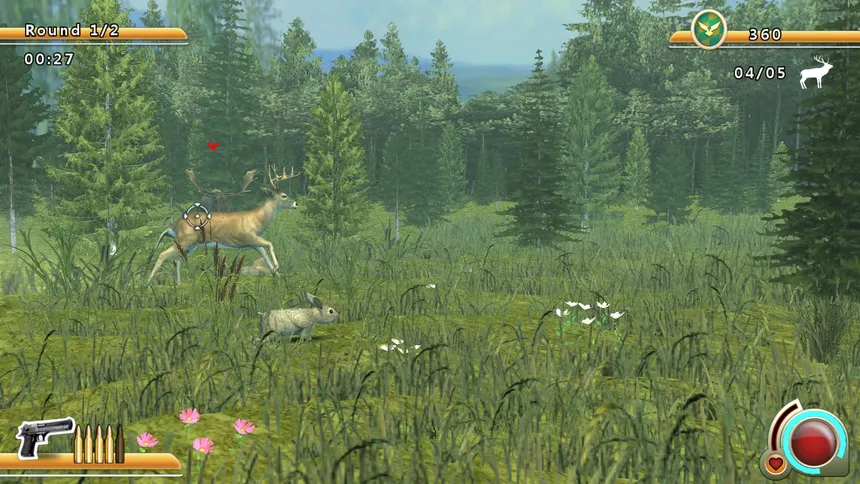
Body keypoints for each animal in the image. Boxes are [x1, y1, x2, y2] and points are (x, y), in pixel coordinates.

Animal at [146, 162, 299, 285]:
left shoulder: (254, 242)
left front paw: (276, 274)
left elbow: (264, 254)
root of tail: (175, 225)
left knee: (176, 259)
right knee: (162, 254)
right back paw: (147, 283)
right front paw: (277, 268)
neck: (257, 219)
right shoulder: (248, 236)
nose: (296, 203)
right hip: (184, 240)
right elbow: (269, 244)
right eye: (284, 195)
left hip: (191, 244)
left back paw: (178, 283)